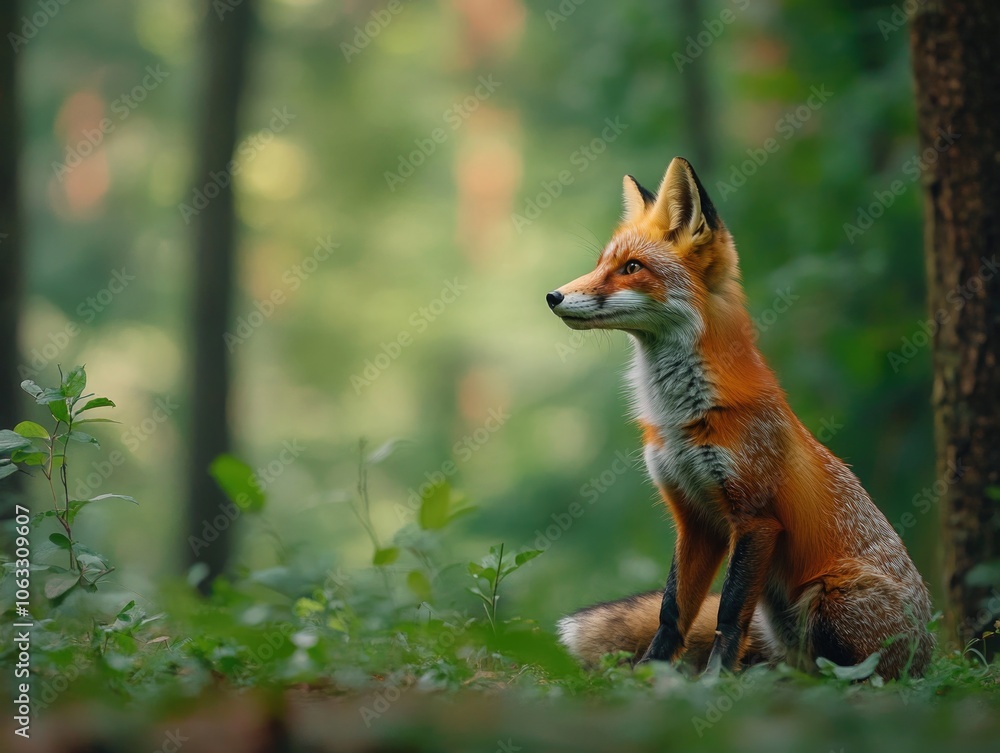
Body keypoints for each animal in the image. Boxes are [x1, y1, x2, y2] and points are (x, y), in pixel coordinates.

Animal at [546, 157, 935, 680]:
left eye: (631, 268)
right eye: (601, 264)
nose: (553, 296)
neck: (682, 417)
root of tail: (930, 648)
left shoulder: (755, 519)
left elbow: (728, 613)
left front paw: (714, 682)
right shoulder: (695, 519)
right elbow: (673, 611)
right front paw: (650, 675)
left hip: (828, 597)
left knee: (859, 674)